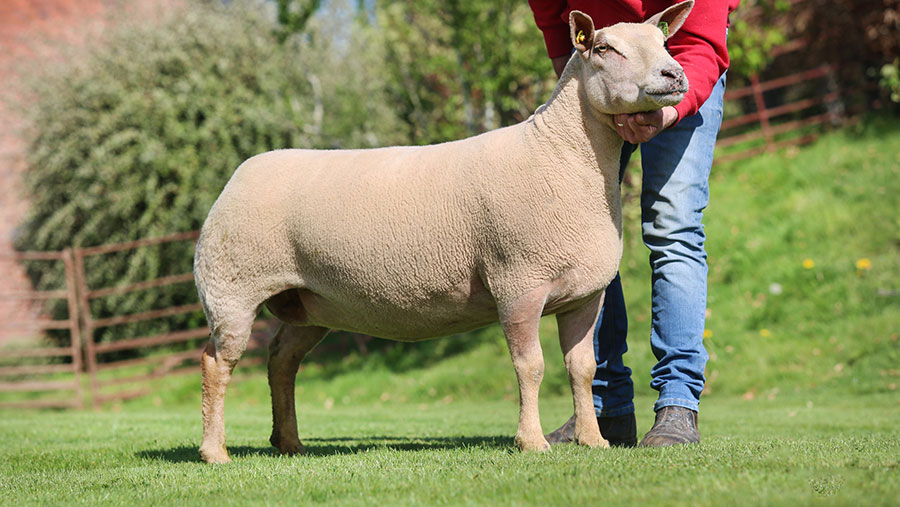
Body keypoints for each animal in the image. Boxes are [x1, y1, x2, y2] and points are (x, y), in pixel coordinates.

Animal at [192, 0, 696, 464]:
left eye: (665, 42)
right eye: (605, 49)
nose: (674, 75)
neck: (561, 155)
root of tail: (241, 173)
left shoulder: (585, 294)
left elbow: (582, 369)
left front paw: (593, 440)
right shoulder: (519, 282)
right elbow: (530, 367)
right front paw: (531, 442)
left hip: (310, 300)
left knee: (282, 359)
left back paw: (289, 442)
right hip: (233, 286)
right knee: (217, 363)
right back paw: (215, 452)